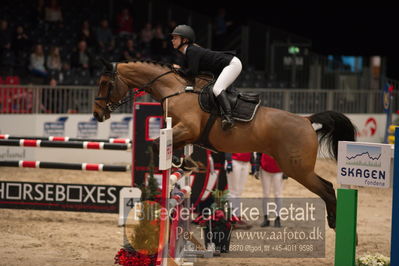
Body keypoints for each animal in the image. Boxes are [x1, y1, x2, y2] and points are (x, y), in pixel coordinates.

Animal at [94, 58, 360, 229]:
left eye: (106, 84)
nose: (98, 114)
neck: (175, 89)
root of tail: (307, 120)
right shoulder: (185, 134)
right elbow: (168, 147)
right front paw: (186, 163)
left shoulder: (186, 128)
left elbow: (158, 145)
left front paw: (182, 164)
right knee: (327, 188)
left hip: (297, 168)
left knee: (327, 188)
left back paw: (336, 223)